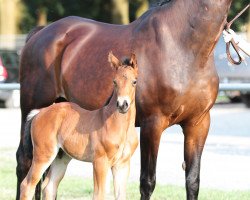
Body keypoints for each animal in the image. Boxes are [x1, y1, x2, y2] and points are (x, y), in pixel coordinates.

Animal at [19, 52, 139, 199]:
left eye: (134, 81)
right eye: (114, 82)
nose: (122, 105)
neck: (121, 127)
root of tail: (39, 113)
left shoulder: (122, 164)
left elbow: (121, 195)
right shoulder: (100, 162)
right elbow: (99, 194)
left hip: (61, 158)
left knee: (49, 186)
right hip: (43, 155)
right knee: (27, 185)